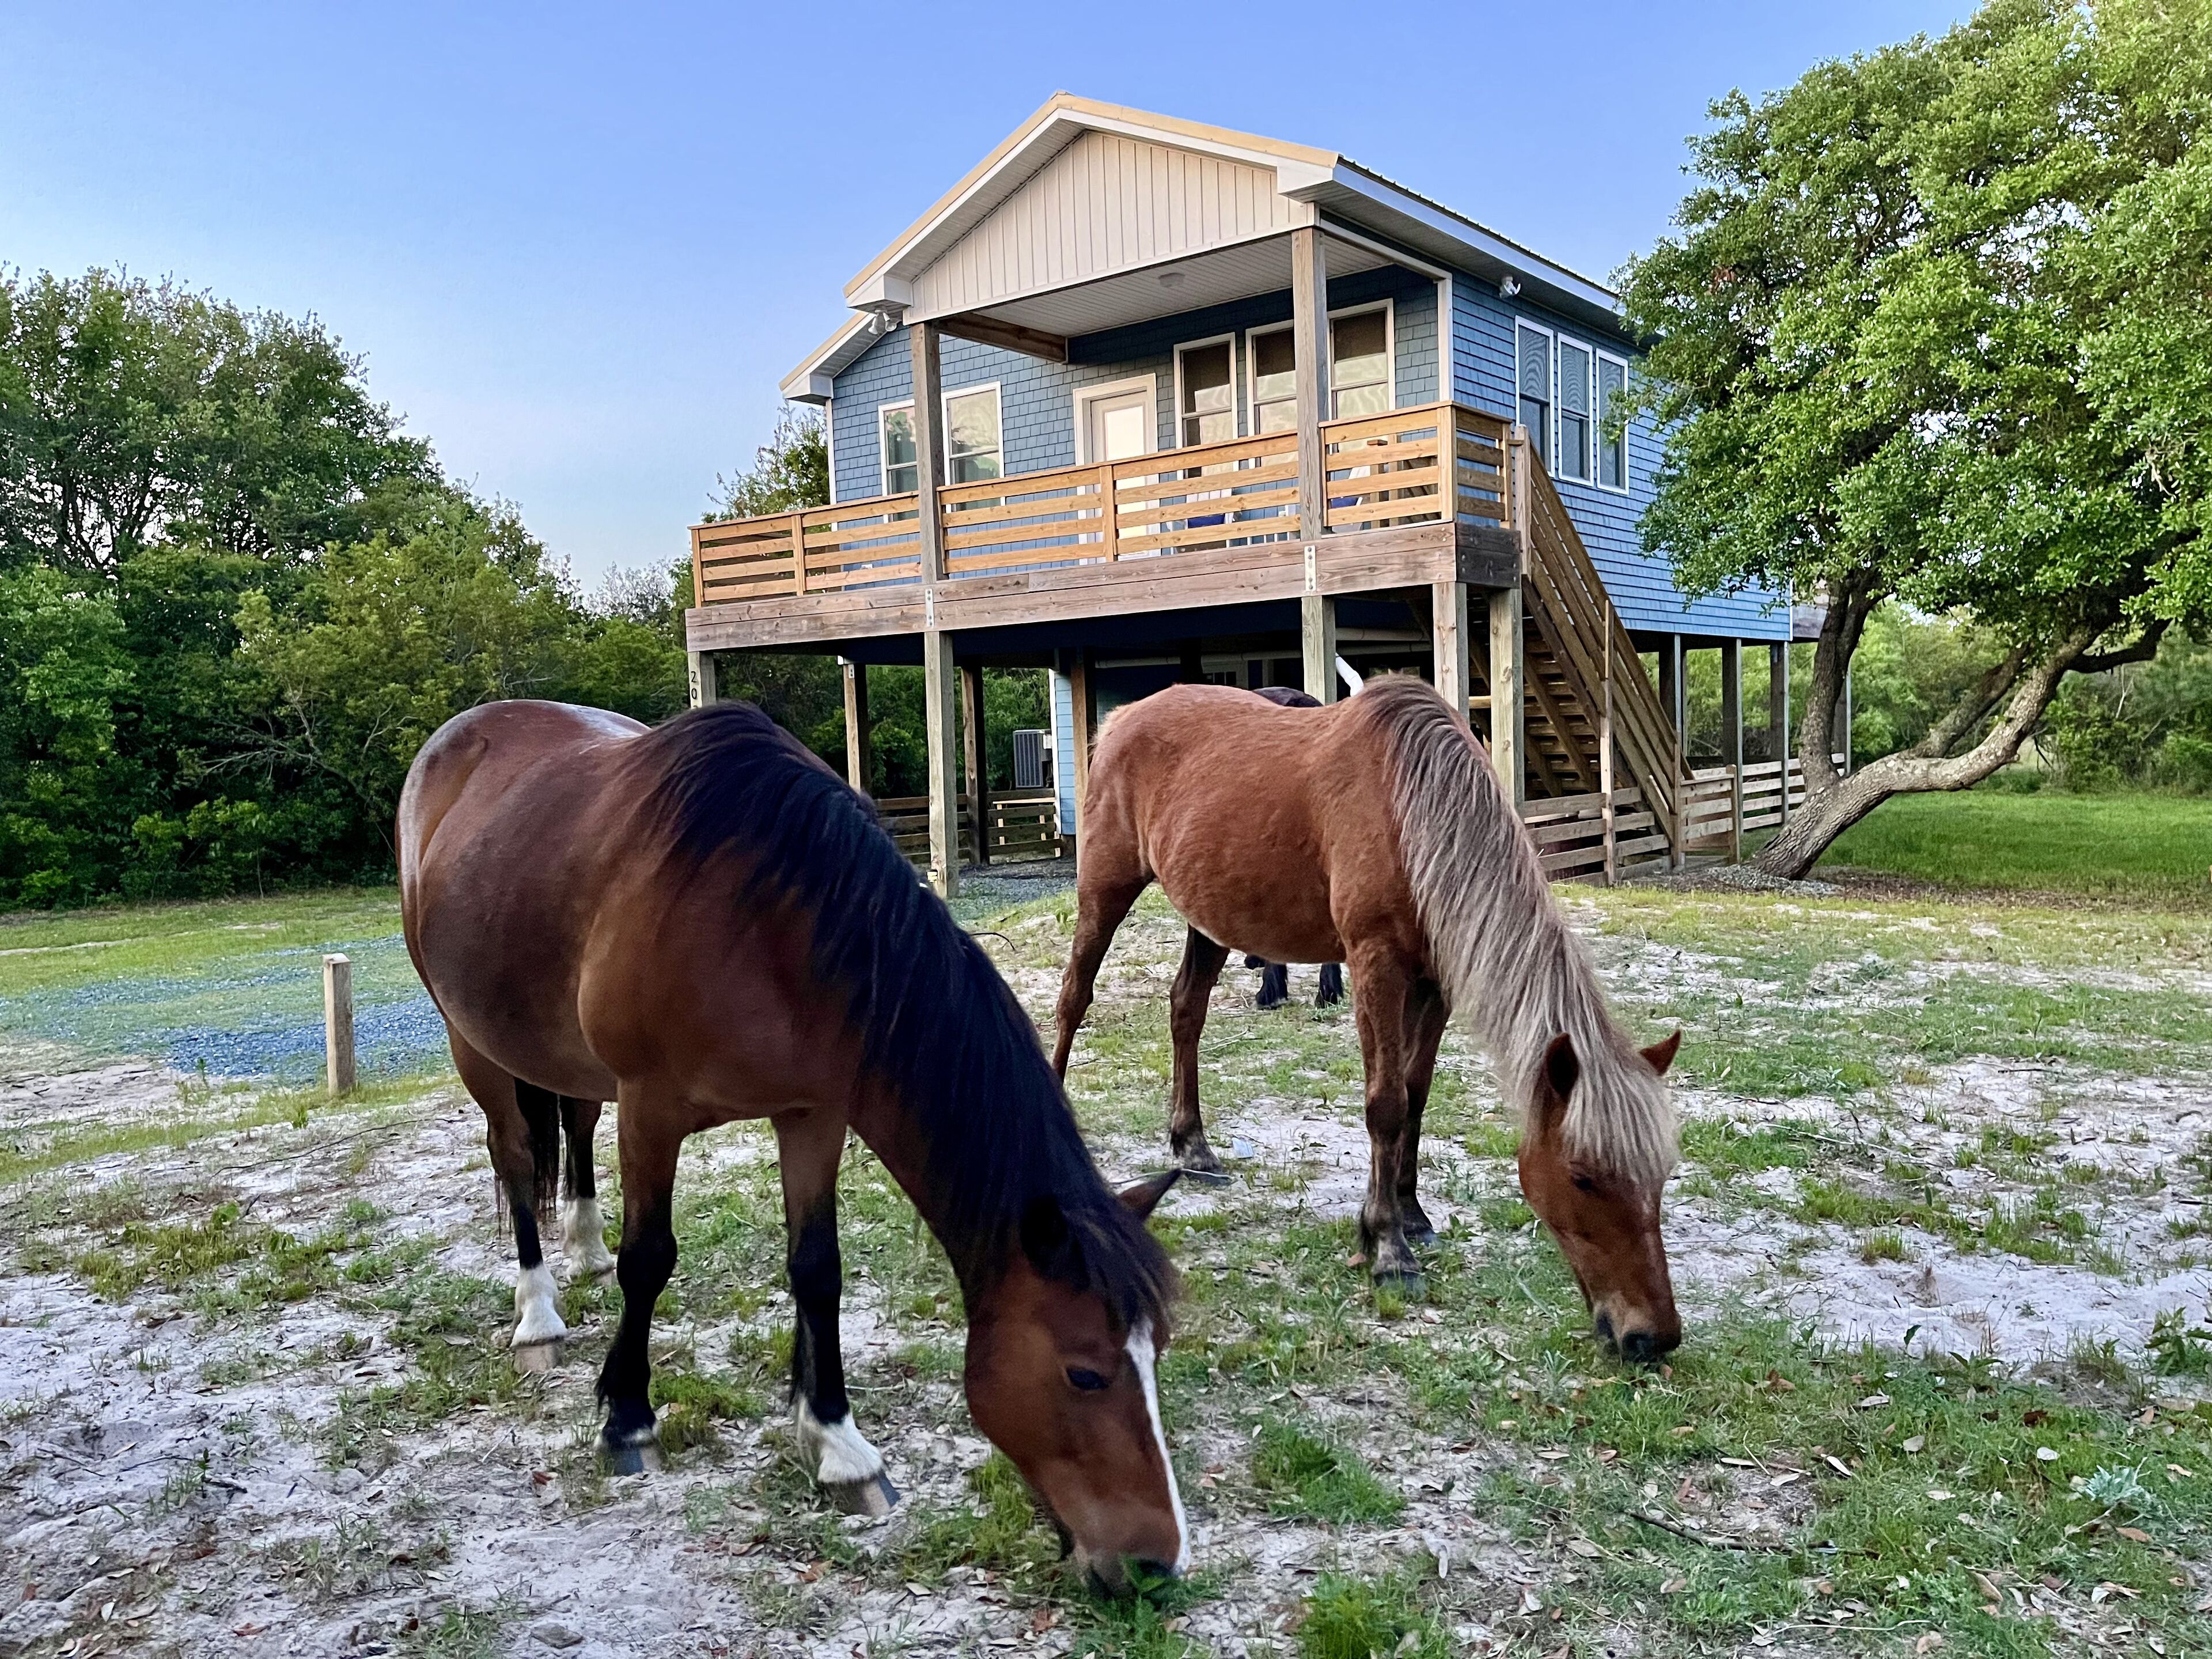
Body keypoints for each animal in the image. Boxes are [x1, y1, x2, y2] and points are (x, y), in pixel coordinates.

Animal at [398, 699, 1189, 1591]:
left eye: (1157, 1352)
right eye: (1084, 1373)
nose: (1157, 1564)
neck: (768, 922)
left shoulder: (813, 1116)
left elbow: (818, 1270)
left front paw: (839, 1445)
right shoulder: (651, 1111)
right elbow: (651, 1261)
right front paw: (628, 1419)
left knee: (572, 1123)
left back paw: (584, 1246)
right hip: (473, 1043)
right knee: (514, 1155)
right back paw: (537, 1313)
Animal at [1050, 676, 1683, 1361]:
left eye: (1661, 1176)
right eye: (1582, 1177)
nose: (1654, 1336)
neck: (1412, 811)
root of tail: (1124, 716)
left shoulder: (1436, 982)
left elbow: (1417, 1095)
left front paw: (1412, 1214)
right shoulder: (1375, 964)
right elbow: (1386, 1104)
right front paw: (1387, 1248)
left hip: (1209, 914)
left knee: (1186, 1009)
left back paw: (1194, 1146)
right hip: (1106, 886)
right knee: (1074, 997)